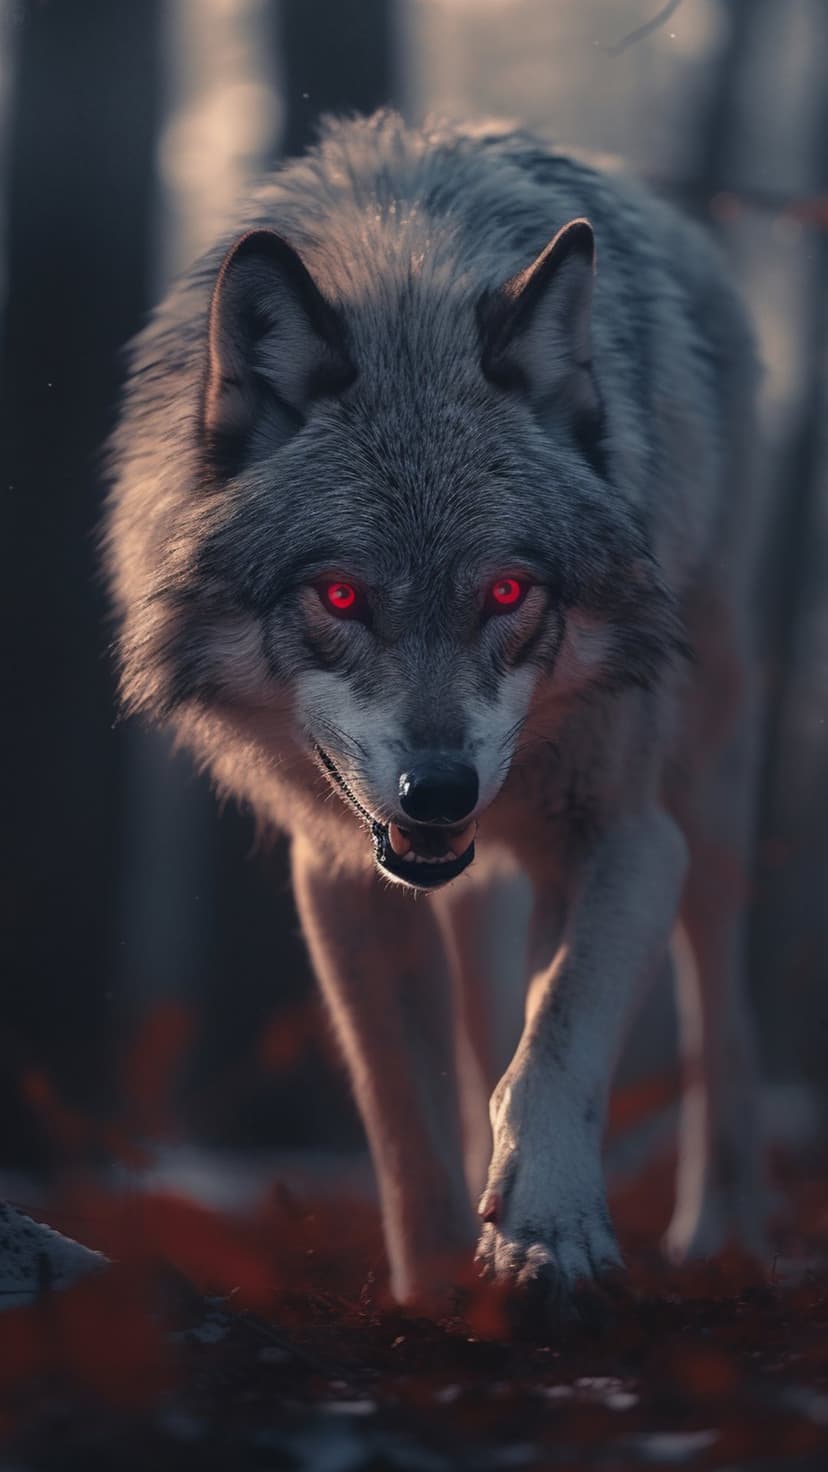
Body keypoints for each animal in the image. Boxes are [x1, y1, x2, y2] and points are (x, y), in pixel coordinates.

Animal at [104, 111, 768, 1315]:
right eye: (339, 596)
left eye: (506, 591)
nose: (439, 789)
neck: (406, 295)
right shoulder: (339, 878)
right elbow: (406, 1125)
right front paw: (438, 1300)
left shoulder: (631, 838)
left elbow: (556, 1041)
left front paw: (550, 1230)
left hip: (710, 785)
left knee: (720, 1017)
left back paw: (724, 1236)